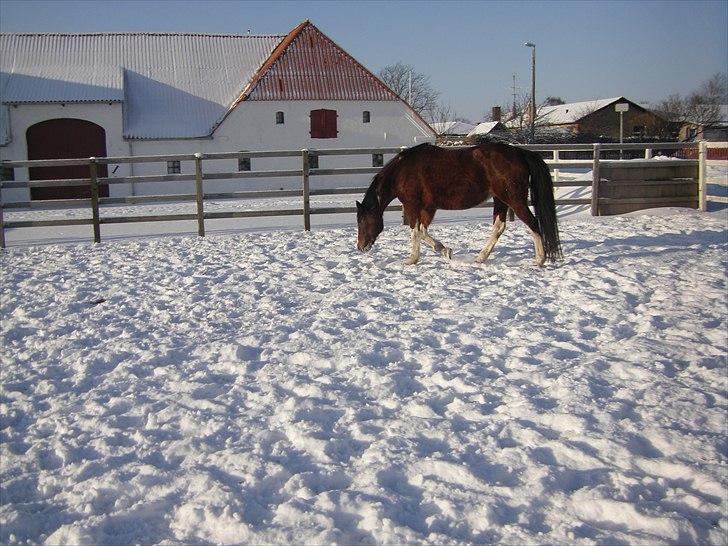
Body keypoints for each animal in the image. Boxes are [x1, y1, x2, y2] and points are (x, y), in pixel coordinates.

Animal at [356, 142, 564, 266]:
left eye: (362, 221)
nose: (360, 246)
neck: (402, 171)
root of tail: (520, 152)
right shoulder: (428, 208)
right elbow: (422, 231)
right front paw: (445, 251)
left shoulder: (413, 205)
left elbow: (415, 232)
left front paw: (412, 259)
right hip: (500, 200)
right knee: (499, 227)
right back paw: (481, 257)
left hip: (514, 199)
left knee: (533, 223)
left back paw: (539, 259)